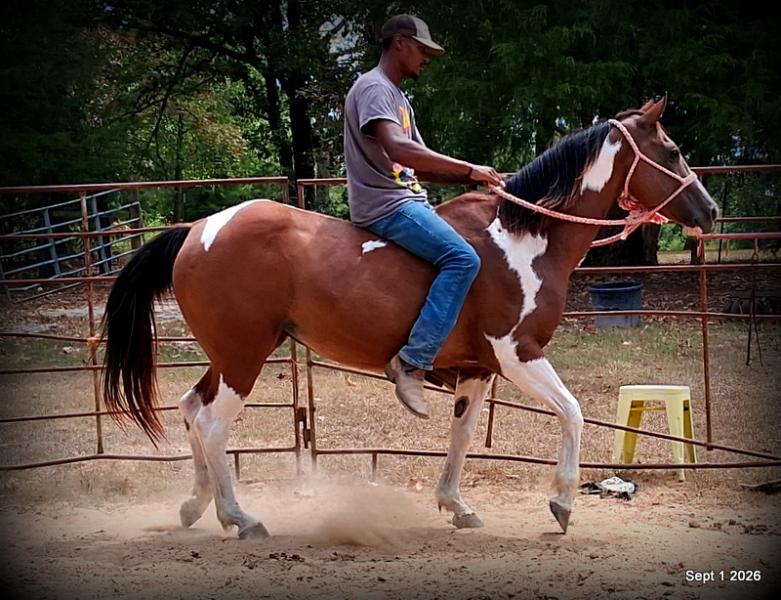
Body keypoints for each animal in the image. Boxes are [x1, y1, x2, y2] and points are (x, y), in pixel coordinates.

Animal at [102, 98, 719, 539]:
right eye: (671, 152)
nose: (710, 211)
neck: (524, 237)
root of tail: (199, 230)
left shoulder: (478, 370)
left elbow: (462, 435)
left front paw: (456, 505)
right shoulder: (519, 353)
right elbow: (572, 412)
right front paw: (562, 501)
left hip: (233, 354)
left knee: (190, 409)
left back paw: (194, 505)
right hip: (243, 356)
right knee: (211, 424)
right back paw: (240, 517)